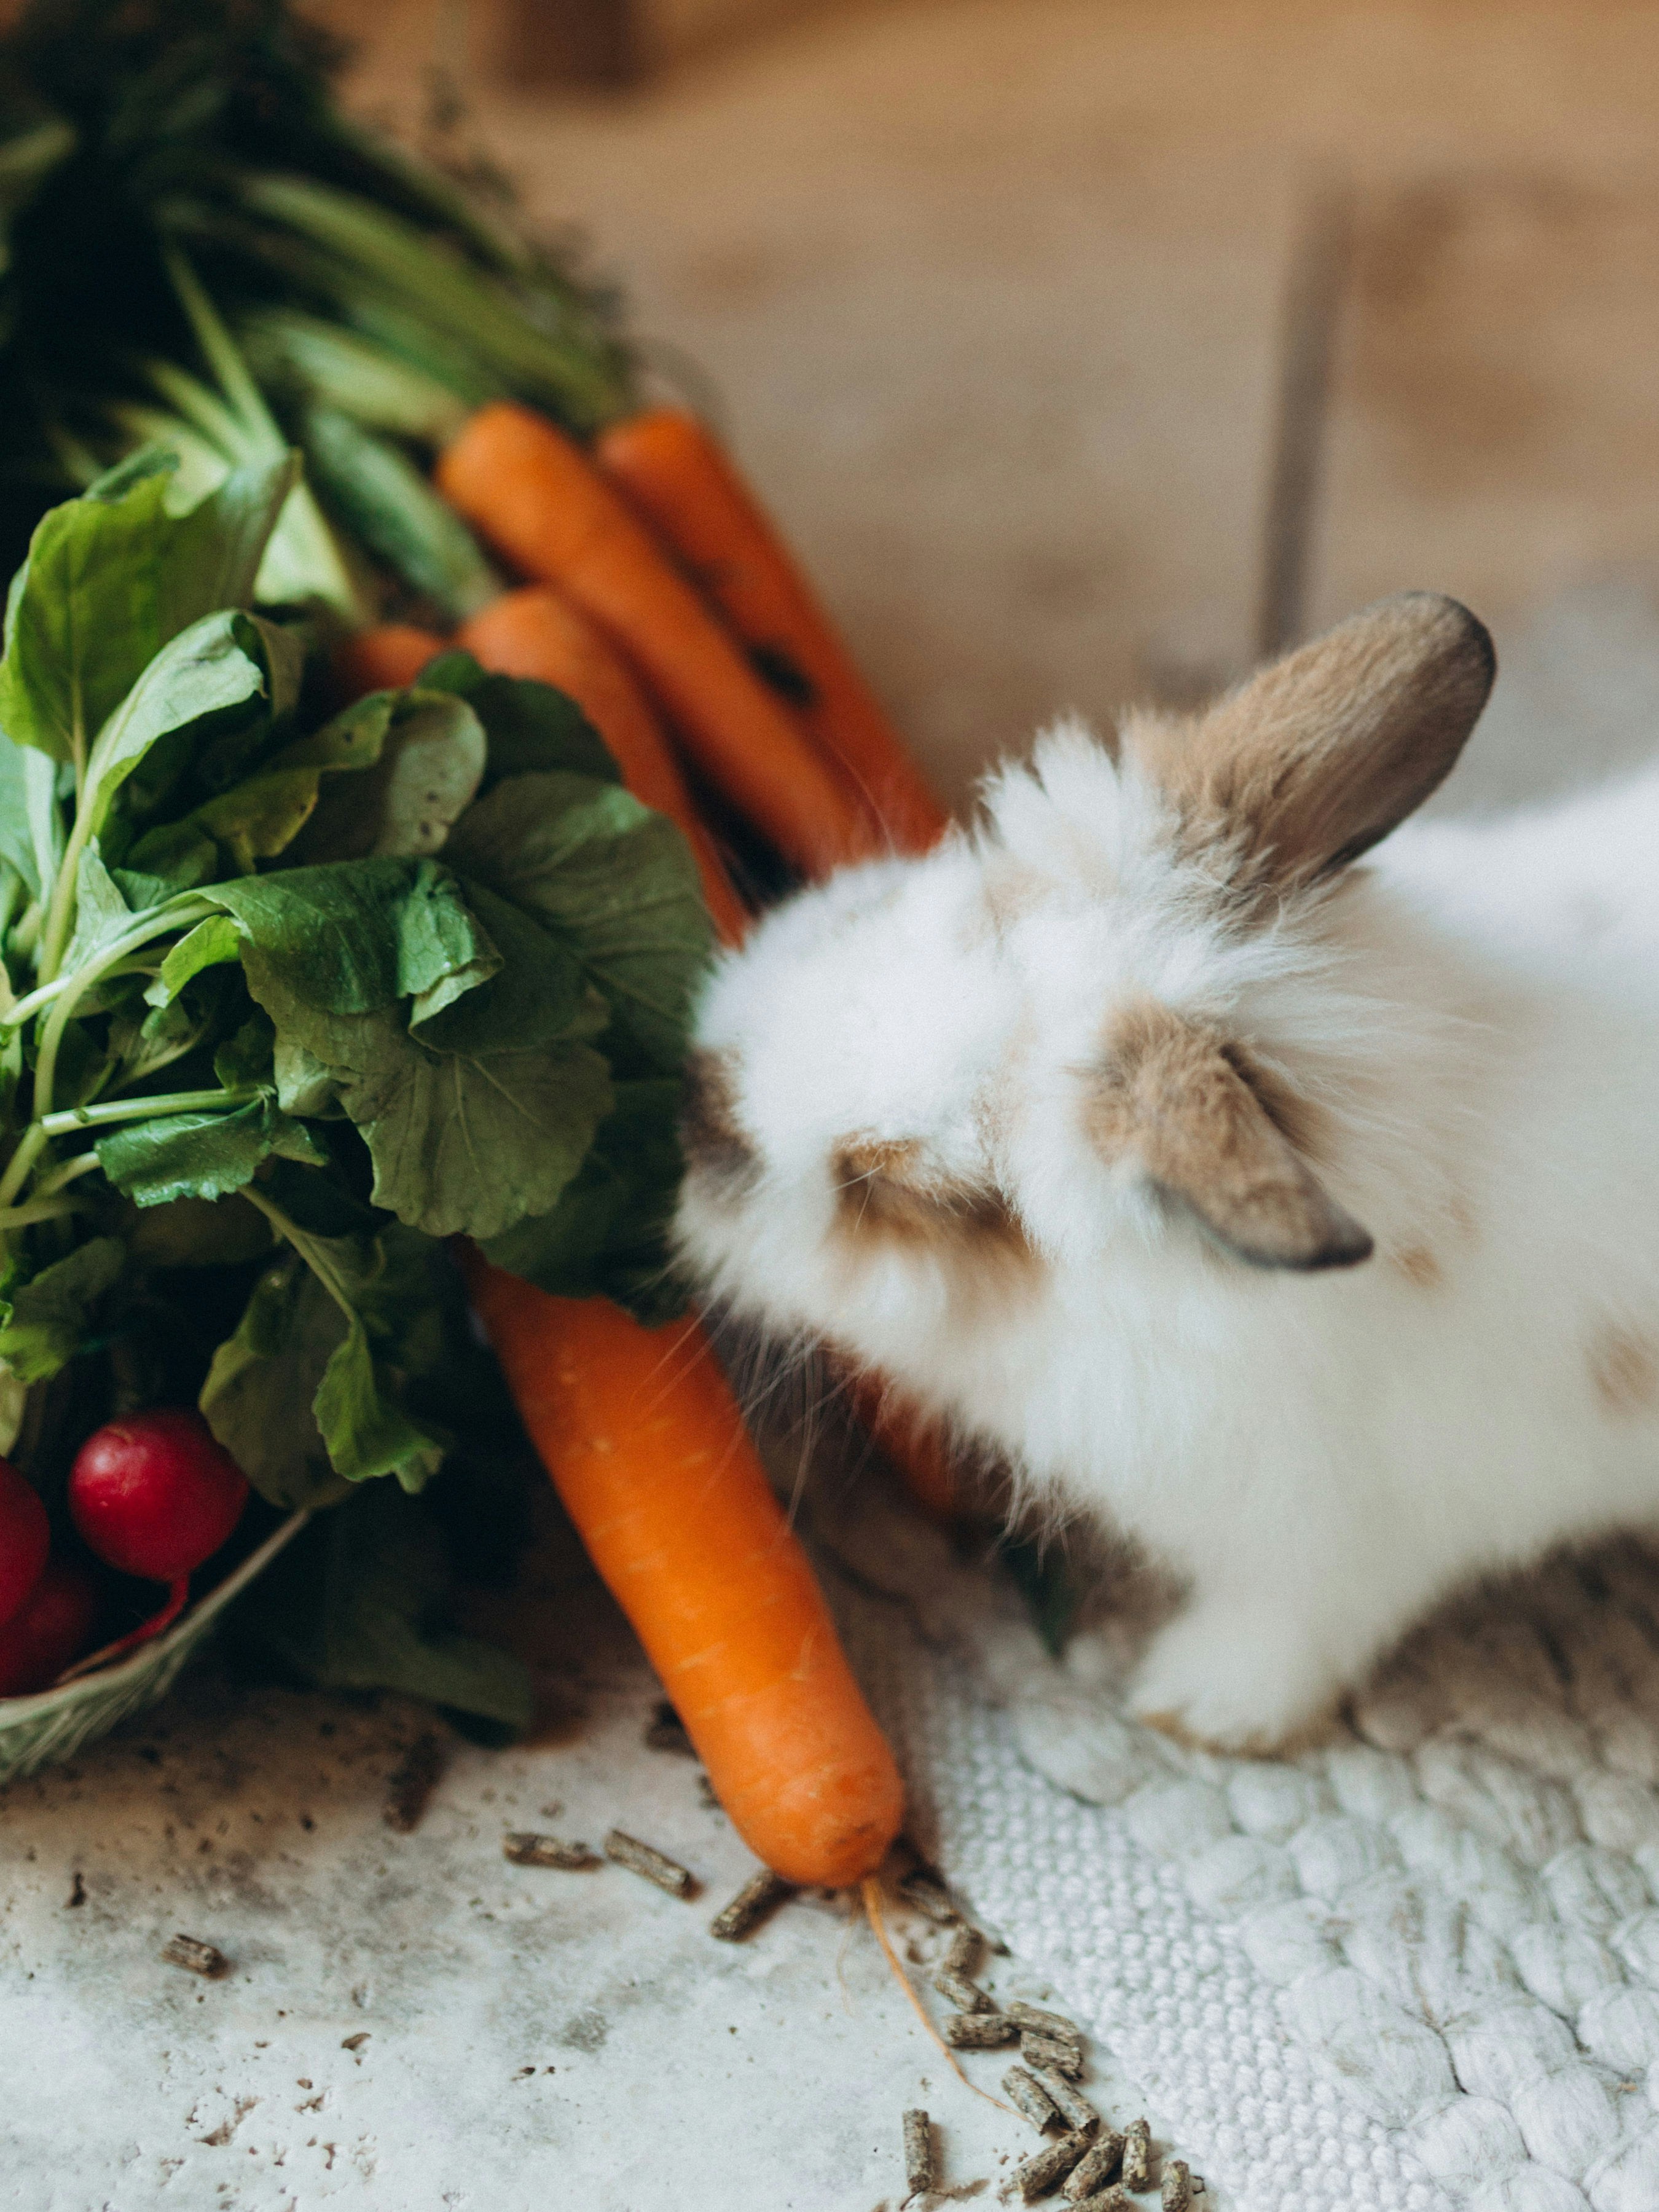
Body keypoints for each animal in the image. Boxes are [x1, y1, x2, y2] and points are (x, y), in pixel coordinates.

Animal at [674, 592, 1659, 1753]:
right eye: (970, 906)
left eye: (902, 1189)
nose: (695, 1110)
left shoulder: (1358, 1532)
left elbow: (1294, 1620)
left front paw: (1192, 1709)